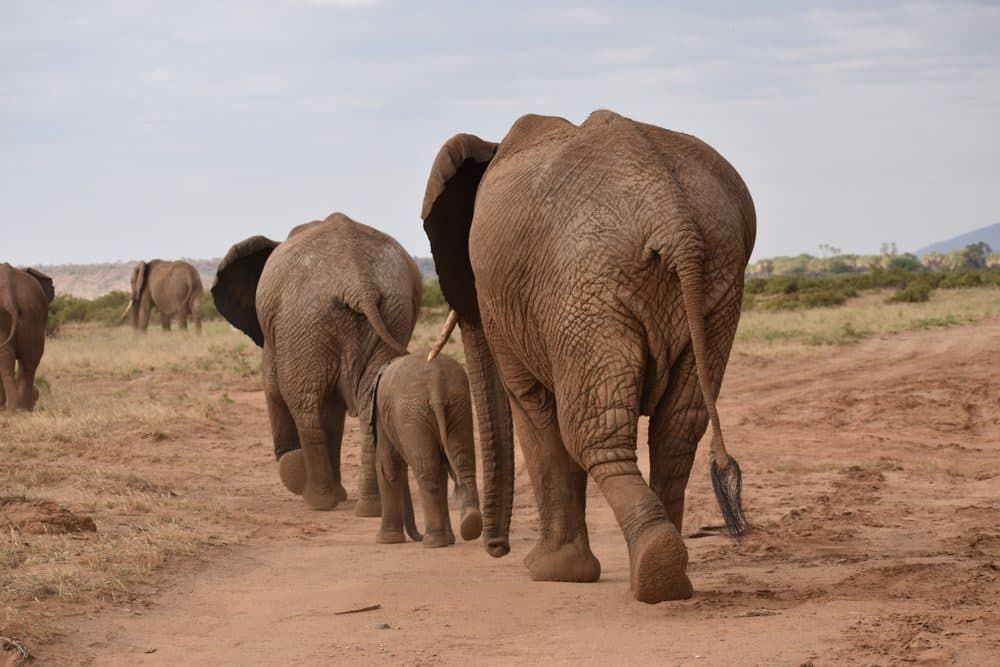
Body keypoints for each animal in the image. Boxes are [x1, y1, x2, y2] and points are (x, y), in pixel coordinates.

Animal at [212, 213, 422, 513]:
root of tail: (359, 281)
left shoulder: (276, 332)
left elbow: (274, 389)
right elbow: (333, 413)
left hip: (304, 316)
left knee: (303, 403)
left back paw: (317, 501)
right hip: (392, 311)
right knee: (369, 401)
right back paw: (370, 508)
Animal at [372, 350, 483, 548]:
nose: (418, 536)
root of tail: (435, 383)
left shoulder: (380, 412)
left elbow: (387, 466)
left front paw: (385, 541)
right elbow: (442, 468)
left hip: (414, 412)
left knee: (427, 471)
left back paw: (432, 542)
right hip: (458, 405)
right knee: (461, 460)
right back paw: (470, 524)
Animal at [420, 110, 756, 603]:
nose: (495, 547)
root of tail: (674, 217)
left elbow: (534, 411)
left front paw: (552, 573)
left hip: (587, 288)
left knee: (591, 430)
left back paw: (653, 572)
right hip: (717, 286)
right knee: (677, 429)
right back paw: (672, 578)